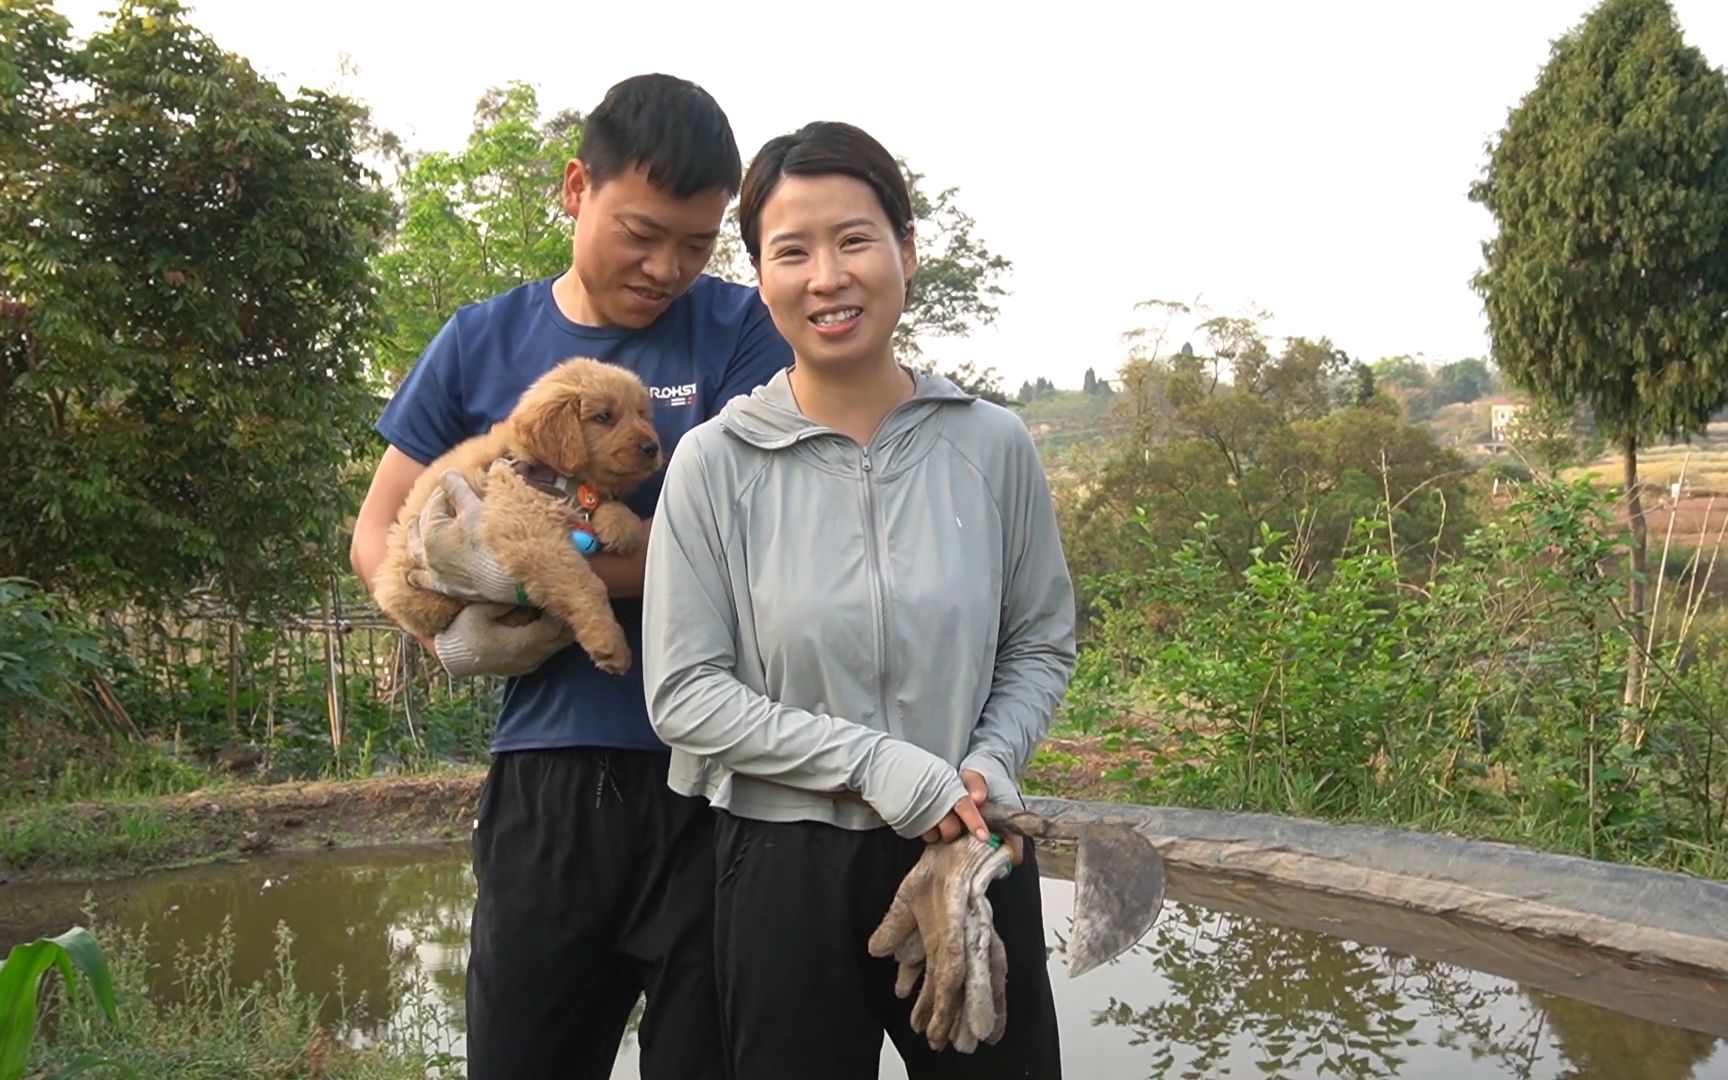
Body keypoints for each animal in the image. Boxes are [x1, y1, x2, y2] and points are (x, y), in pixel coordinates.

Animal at [374, 357, 663, 670]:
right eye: (605, 417)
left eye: (642, 415)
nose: (653, 447)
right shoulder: (530, 530)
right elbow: (584, 583)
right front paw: (609, 642)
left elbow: (603, 502)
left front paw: (620, 525)